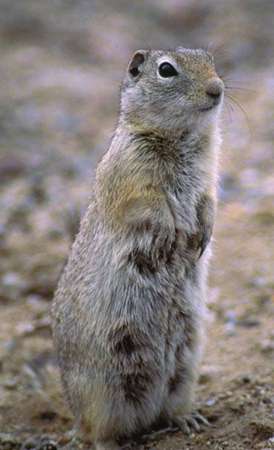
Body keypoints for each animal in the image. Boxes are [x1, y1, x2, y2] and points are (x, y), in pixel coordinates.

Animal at [52, 48, 225, 450]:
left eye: (210, 59)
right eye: (166, 70)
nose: (217, 89)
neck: (182, 137)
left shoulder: (209, 175)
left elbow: (208, 201)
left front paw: (201, 235)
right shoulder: (132, 172)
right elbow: (150, 206)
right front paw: (167, 237)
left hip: (186, 366)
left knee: (167, 408)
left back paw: (188, 419)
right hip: (102, 389)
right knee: (97, 432)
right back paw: (110, 441)